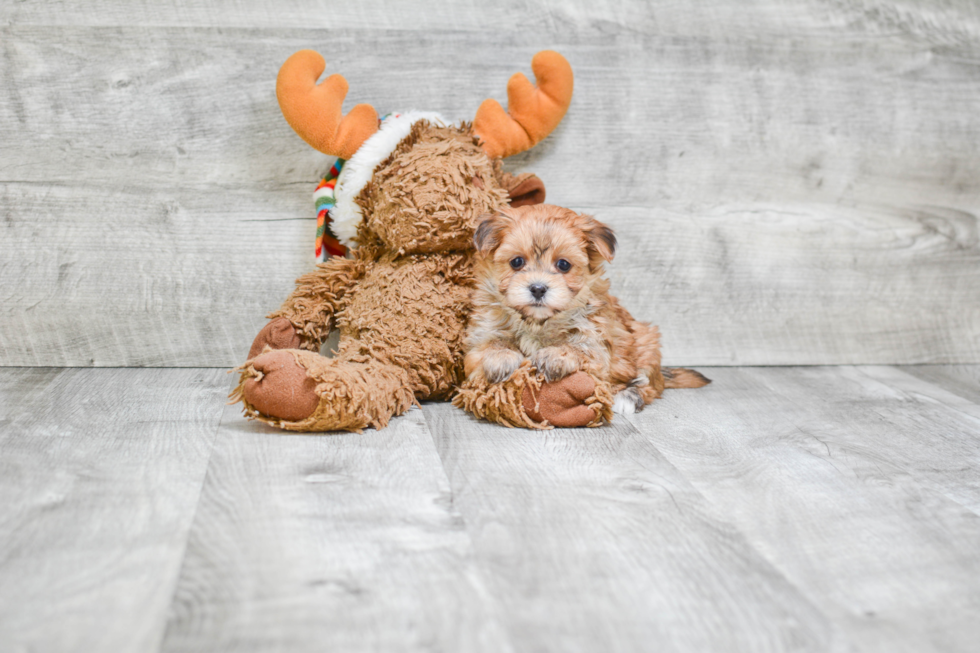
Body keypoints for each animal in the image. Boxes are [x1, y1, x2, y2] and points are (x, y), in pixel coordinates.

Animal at [464, 206, 708, 416]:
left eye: (563, 265)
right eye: (516, 262)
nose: (538, 288)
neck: (538, 322)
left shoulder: (596, 341)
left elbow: (579, 348)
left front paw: (556, 355)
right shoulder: (482, 332)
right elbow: (490, 343)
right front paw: (500, 357)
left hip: (646, 342)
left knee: (648, 384)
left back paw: (627, 397)